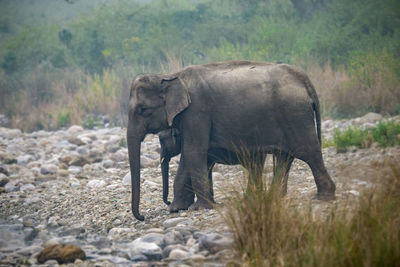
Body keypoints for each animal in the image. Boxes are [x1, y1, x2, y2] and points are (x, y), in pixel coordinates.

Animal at [127, 60, 334, 222]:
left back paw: (323, 198)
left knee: (309, 151)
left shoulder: (197, 111)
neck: (170, 76)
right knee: (285, 157)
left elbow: (193, 151)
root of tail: (303, 78)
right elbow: (190, 155)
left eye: (143, 110)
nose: (142, 217)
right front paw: (179, 208)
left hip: (295, 113)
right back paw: (273, 197)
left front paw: (196, 208)